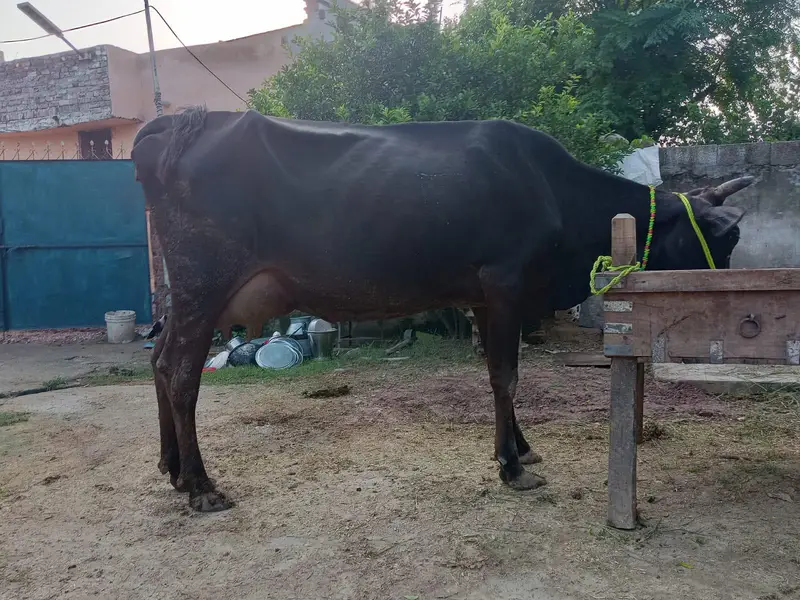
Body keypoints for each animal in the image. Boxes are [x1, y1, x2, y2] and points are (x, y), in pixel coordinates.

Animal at [132, 106, 752, 512]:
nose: (729, 311)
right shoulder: (505, 282)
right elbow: (507, 374)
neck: (552, 190)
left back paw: (172, 470)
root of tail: (178, 124)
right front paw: (512, 467)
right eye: (719, 239)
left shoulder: (481, 295)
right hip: (204, 283)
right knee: (180, 372)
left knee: (159, 362)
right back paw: (202, 486)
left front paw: (521, 449)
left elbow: (496, 373)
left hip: (188, 293)